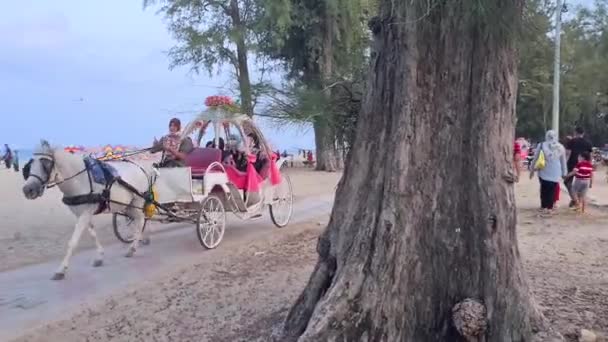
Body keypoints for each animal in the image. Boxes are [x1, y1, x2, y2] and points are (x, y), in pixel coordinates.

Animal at [22, 140, 154, 280]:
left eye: (45, 163)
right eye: (30, 165)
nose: (28, 189)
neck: (80, 179)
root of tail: (140, 168)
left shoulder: (84, 214)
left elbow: (73, 242)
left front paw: (61, 269)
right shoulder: (81, 213)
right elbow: (92, 234)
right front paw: (99, 257)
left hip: (137, 201)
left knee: (141, 219)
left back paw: (133, 247)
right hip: (127, 205)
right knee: (137, 220)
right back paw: (140, 239)